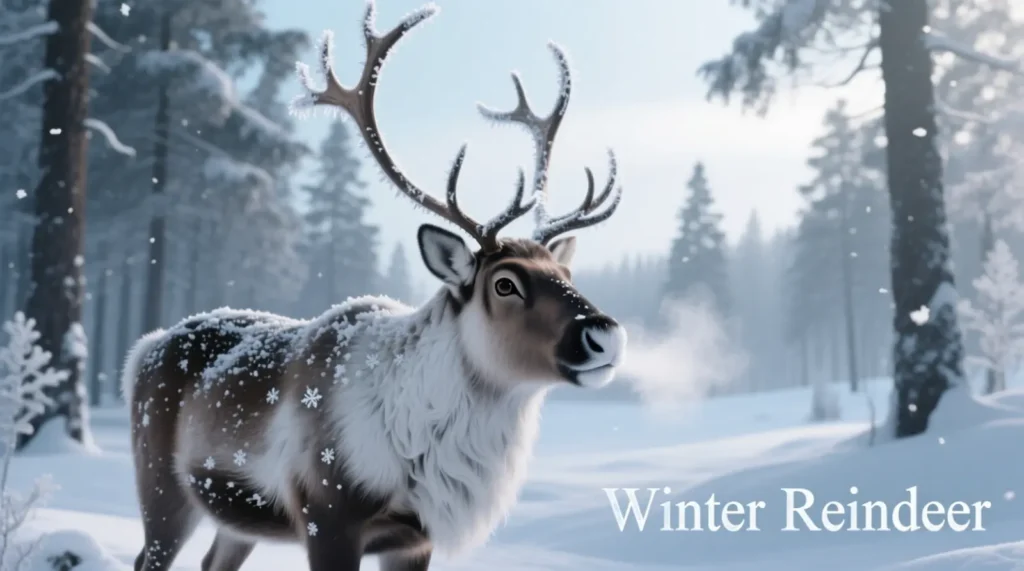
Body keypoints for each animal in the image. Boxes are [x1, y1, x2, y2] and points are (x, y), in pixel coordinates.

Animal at [123, 3, 627, 571]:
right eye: (504, 283)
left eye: (566, 276)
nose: (604, 334)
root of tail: (142, 348)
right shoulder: (327, 515)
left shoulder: (415, 538)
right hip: (161, 483)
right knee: (147, 556)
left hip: (236, 517)